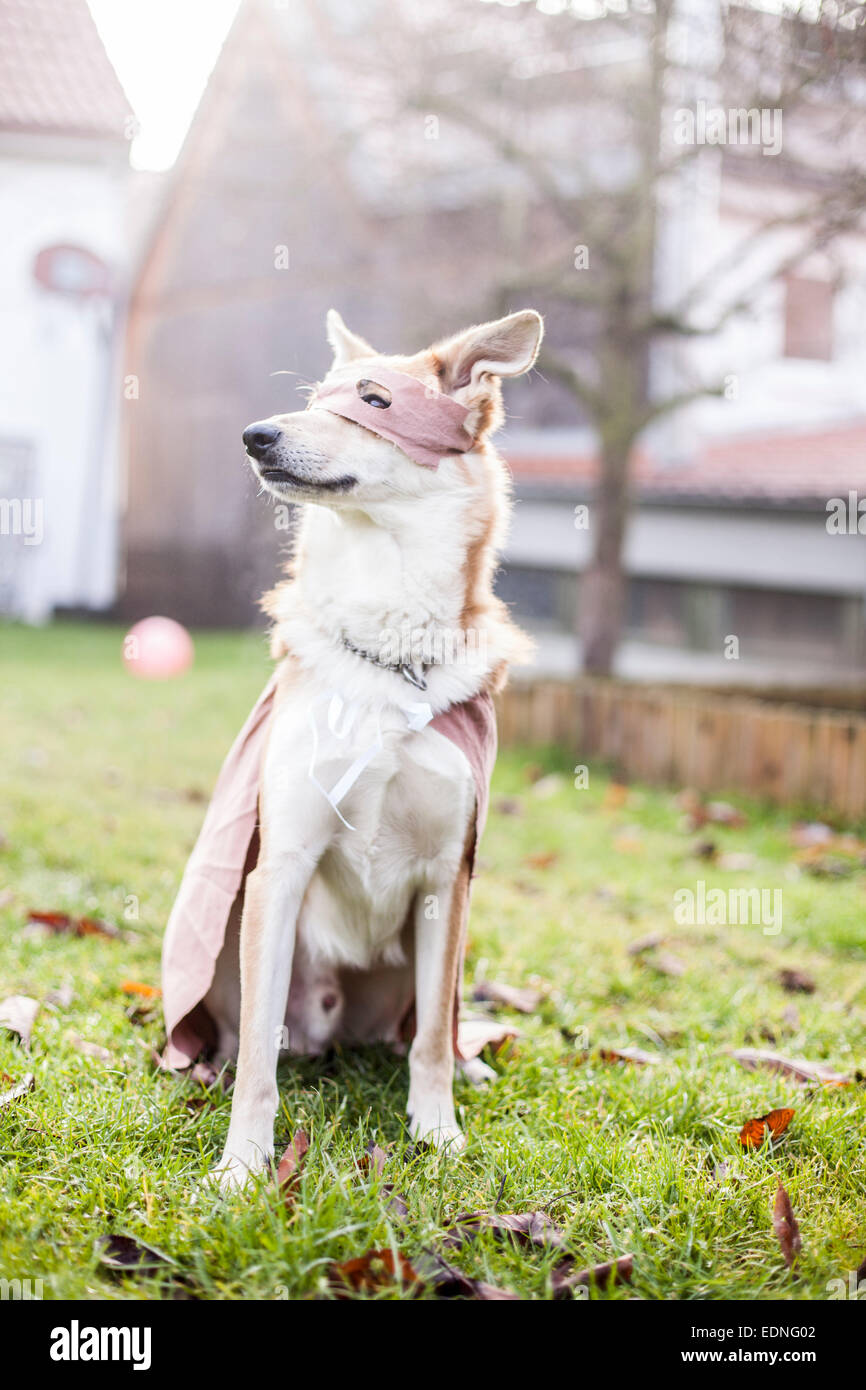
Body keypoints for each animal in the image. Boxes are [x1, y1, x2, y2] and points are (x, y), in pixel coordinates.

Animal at [208, 309, 542, 1189]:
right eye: (313, 397)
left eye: (374, 400)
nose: (254, 436)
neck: (389, 656)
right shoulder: (280, 867)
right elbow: (258, 1062)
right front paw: (242, 1165)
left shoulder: (447, 878)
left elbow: (429, 1039)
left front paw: (438, 1130)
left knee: (434, 1022)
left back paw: (469, 1066)